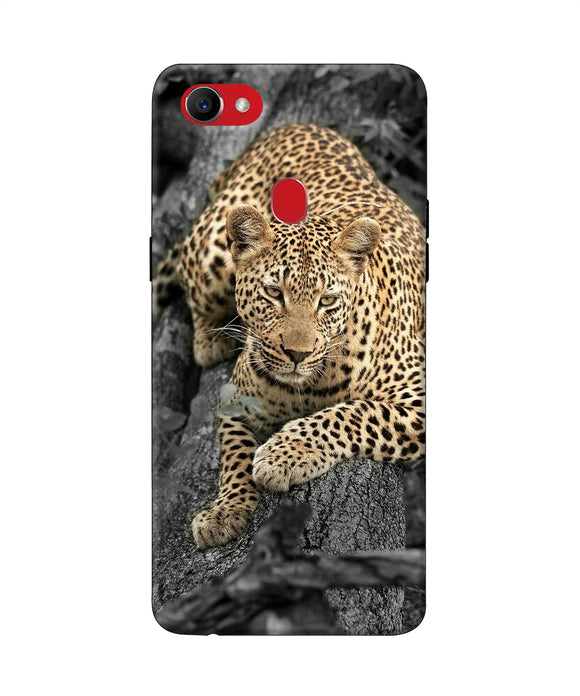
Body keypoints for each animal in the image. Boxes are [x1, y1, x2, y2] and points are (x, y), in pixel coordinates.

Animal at [153, 123, 426, 550]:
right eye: (273, 293)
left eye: (326, 300)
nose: (297, 354)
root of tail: (296, 126)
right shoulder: (235, 400)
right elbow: (234, 455)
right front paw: (224, 511)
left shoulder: (418, 399)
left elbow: (353, 413)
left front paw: (283, 455)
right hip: (212, 250)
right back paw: (212, 340)